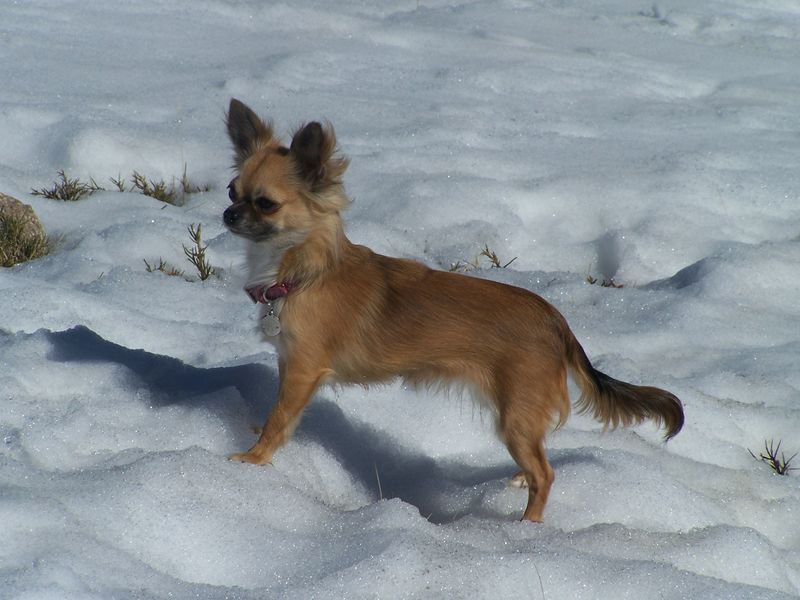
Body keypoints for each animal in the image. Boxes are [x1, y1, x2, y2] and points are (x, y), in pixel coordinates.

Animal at [222, 98, 684, 522]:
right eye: (231, 191)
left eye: (265, 203)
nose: (227, 214)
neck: (302, 272)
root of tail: (556, 322)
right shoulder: (289, 363)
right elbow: (278, 414)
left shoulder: (304, 370)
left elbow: (280, 418)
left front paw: (254, 458)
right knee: (538, 460)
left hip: (514, 417)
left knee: (547, 474)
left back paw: (527, 526)